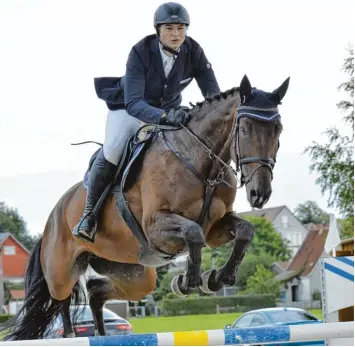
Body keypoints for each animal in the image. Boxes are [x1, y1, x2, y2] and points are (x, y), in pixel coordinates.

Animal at [0, 75, 290, 340]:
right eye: (245, 129)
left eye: (278, 130)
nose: (260, 194)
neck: (201, 163)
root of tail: (51, 217)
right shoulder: (156, 226)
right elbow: (193, 233)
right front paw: (188, 282)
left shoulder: (215, 229)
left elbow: (244, 231)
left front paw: (218, 278)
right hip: (61, 268)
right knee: (61, 297)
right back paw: (71, 335)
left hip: (134, 275)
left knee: (95, 292)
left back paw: (102, 334)